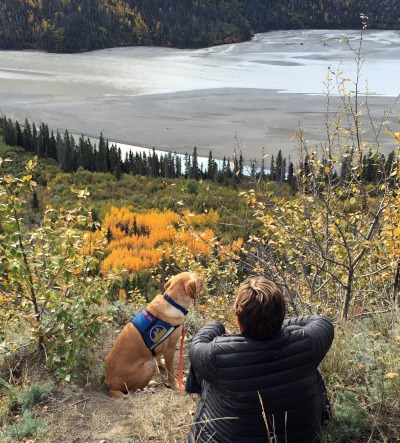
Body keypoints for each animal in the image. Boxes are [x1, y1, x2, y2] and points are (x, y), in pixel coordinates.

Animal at [104, 270, 203, 398]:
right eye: (197, 278)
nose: (203, 278)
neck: (172, 302)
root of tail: (111, 387)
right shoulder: (170, 349)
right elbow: (171, 372)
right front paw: (175, 385)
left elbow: (158, 356)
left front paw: (161, 364)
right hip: (149, 365)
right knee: (135, 389)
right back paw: (150, 384)